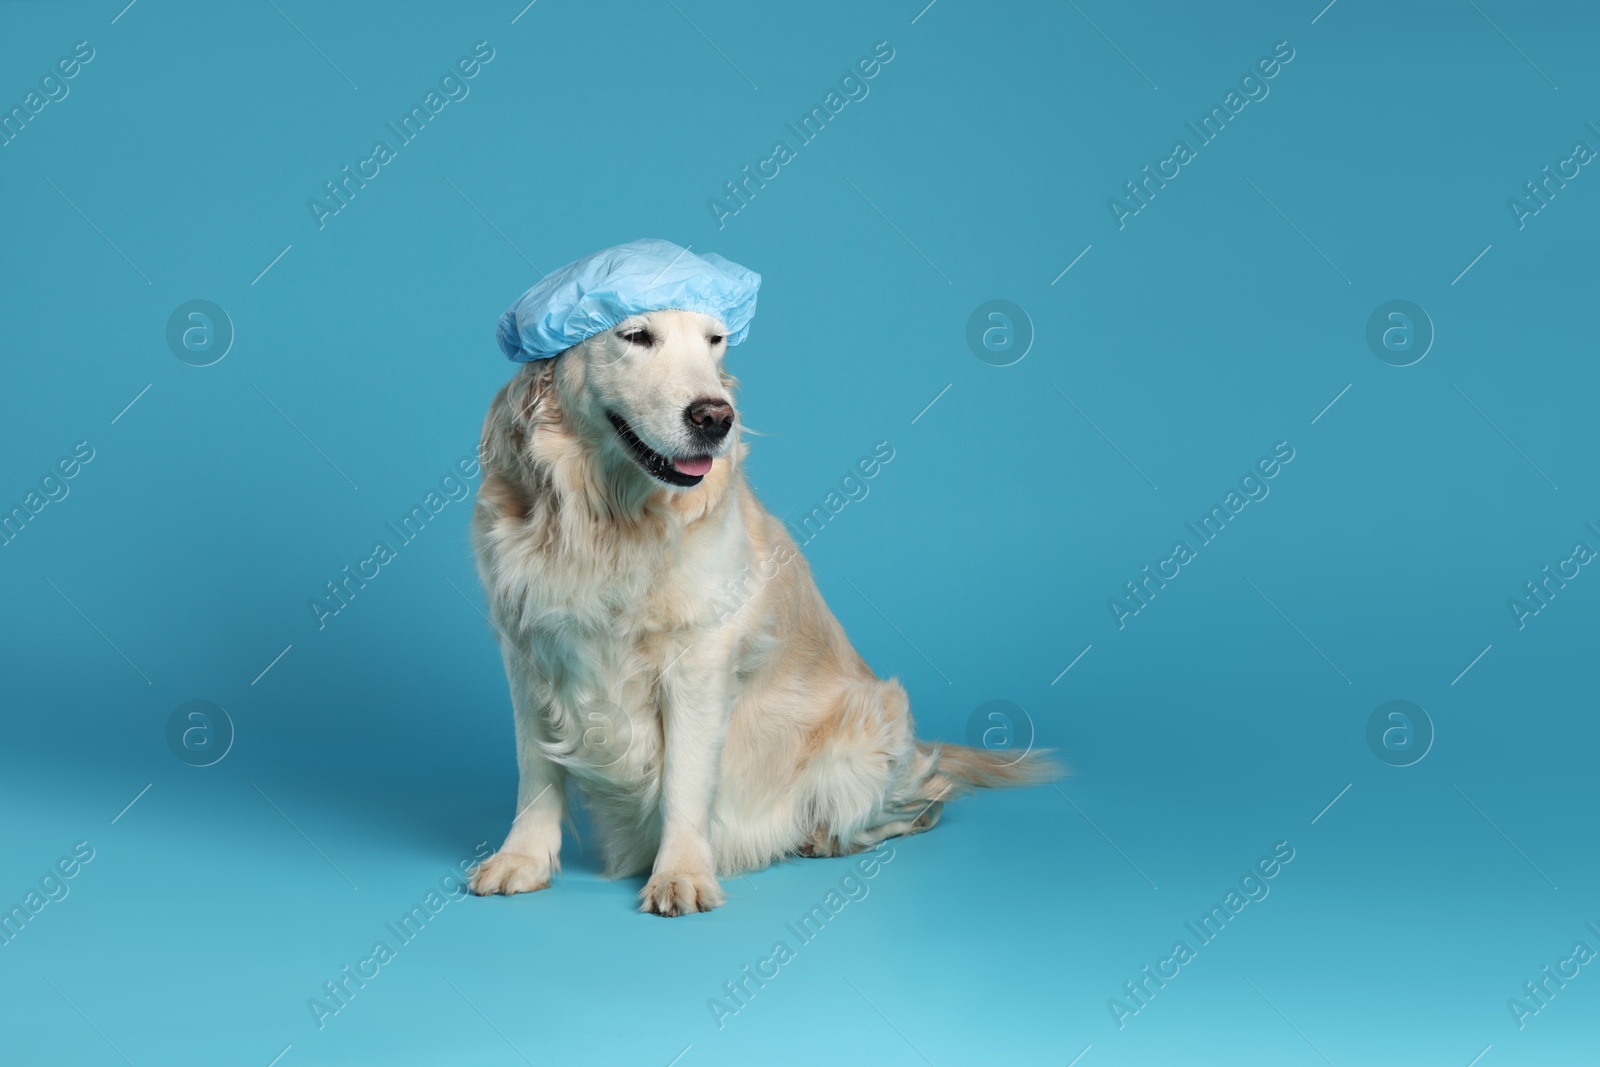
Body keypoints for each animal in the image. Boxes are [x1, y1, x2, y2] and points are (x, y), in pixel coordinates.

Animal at [467, 310, 1056, 921]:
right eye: (635, 336)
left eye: (714, 340)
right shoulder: (526, 650)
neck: (608, 516)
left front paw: (680, 873)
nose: (715, 417)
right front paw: (523, 858)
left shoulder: (698, 659)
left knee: (926, 800)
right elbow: (535, 772)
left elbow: (683, 778)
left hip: (867, 737)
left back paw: (824, 836)